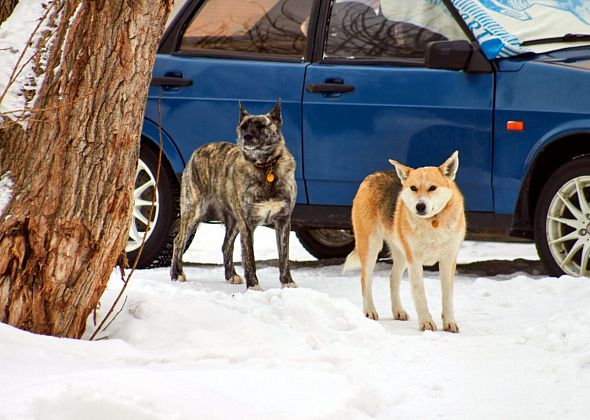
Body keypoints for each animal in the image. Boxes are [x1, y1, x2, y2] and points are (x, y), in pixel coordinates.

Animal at [172, 101, 300, 290]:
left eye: (261, 126)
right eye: (243, 127)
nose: (246, 136)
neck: (265, 167)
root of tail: (198, 150)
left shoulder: (283, 222)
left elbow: (284, 257)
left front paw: (287, 282)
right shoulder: (247, 225)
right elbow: (249, 258)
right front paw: (254, 287)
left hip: (233, 222)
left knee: (226, 246)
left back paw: (230, 275)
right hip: (193, 212)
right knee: (178, 241)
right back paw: (176, 274)